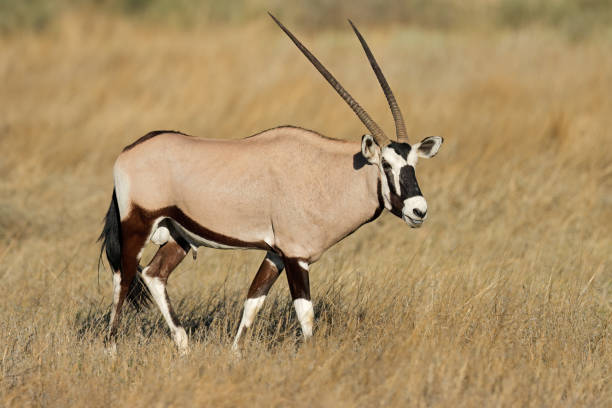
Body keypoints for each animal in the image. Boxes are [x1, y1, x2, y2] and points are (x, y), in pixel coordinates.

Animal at [101, 15, 444, 354]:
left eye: (413, 164)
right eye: (386, 165)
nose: (419, 210)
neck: (326, 174)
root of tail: (128, 151)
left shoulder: (275, 253)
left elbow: (253, 301)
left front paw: (235, 354)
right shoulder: (296, 256)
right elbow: (305, 313)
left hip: (179, 234)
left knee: (154, 275)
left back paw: (184, 346)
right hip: (138, 225)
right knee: (124, 279)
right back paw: (112, 349)